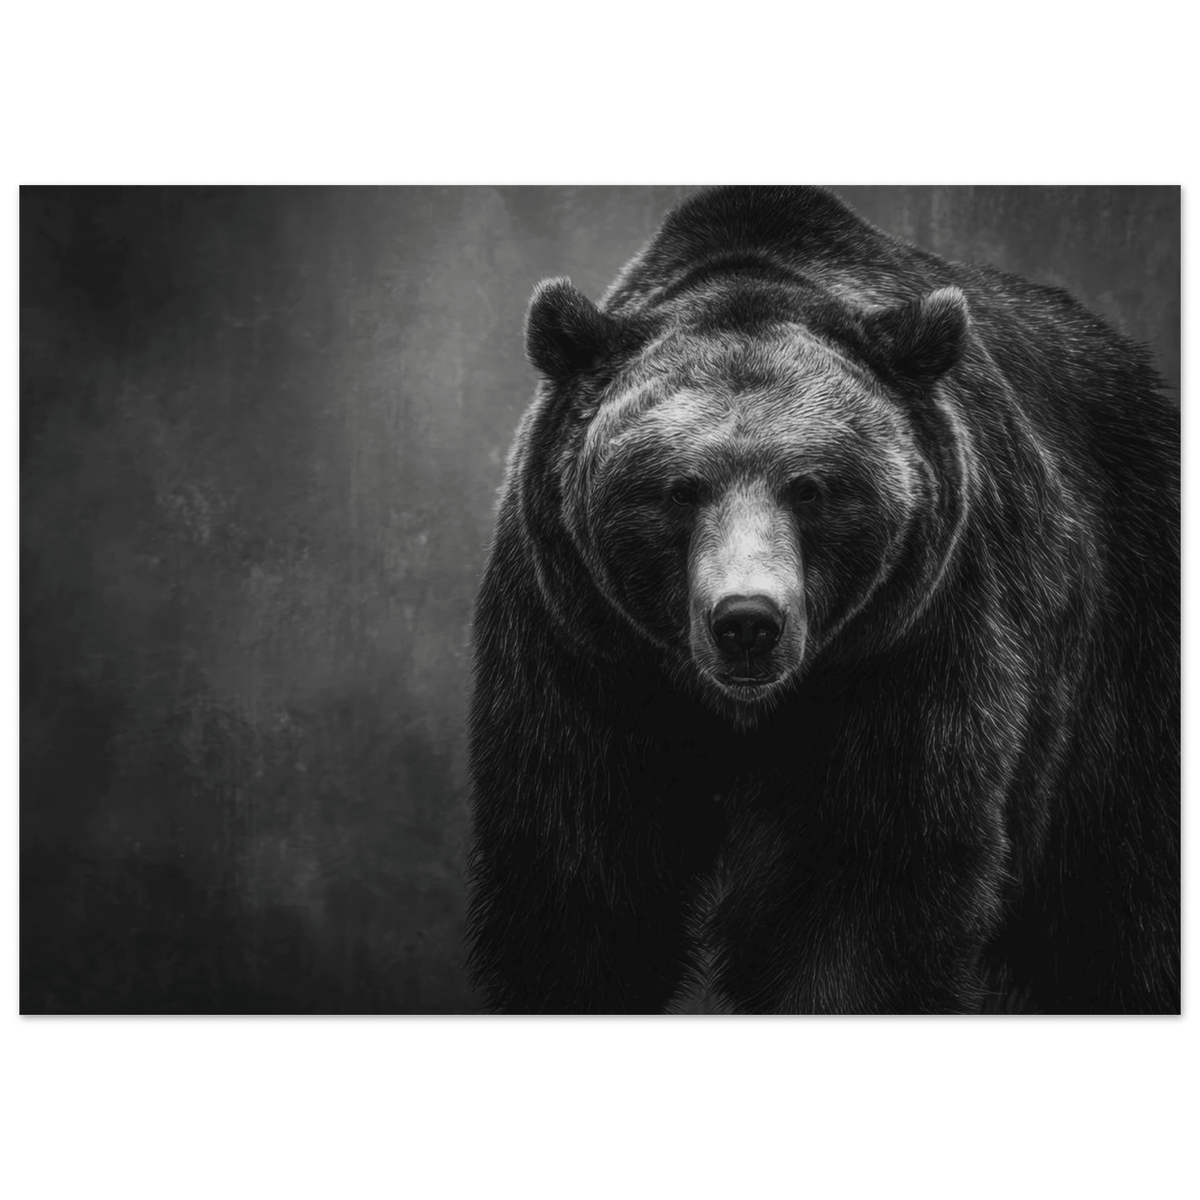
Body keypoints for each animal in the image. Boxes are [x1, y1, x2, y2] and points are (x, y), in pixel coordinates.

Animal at [465, 185, 1181, 1016]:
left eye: (811, 487)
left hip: (1125, 633)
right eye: (679, 489)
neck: (744, 713)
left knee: (1125, 887)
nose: (747, 622)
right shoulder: (581, 652)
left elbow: (861, 894)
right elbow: (579, 883)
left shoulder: (910, 649)